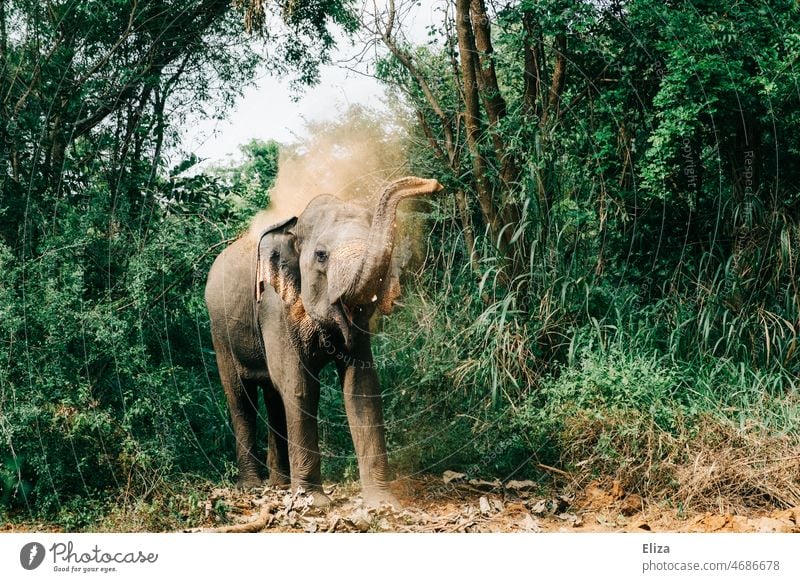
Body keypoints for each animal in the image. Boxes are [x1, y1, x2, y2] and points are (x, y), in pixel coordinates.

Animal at [205, 176, 444, 508]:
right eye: (321, 255)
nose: (434, 184)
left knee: (274, 396)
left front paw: (382, 503)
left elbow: (362, 387)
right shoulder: (275, 308)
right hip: (220, 332)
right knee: (240, 396)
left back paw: (280, 486)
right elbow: (300, 386)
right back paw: (252, 487)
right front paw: (313, 503)